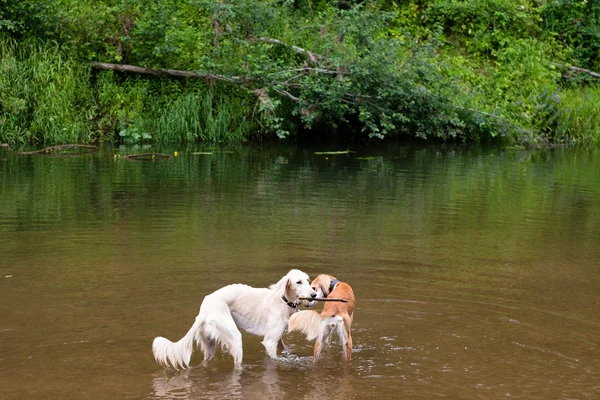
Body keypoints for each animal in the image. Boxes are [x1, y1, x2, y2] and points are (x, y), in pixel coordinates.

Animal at [152, 268, 316, 368]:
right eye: (298, 282)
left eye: (308, 281)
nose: (314, 295)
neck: (282, 300)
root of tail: (204, 310)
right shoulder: (269, 342)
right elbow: (274, 359)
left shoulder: (278, 339)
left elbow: (286, 351)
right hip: (234, 338)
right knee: (237, 366)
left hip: (210, 345)